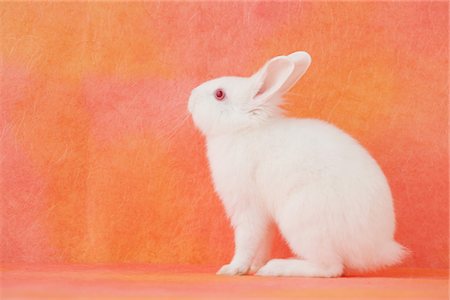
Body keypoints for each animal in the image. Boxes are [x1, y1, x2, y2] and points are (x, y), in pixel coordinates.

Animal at [188, 51, 406, 276]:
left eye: (219, 94)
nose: (191, 97)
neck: (244, 128)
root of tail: (377, 248)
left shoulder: (248, 206)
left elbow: (246, 240)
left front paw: (232, 269)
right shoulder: (264, 217)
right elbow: (262, 242)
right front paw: (254, 267)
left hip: (303, 221)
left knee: (330, 268)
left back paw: (277, 267)